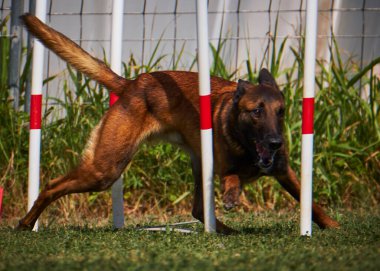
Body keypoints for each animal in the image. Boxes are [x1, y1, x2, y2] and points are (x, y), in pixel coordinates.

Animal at [17, 13, 338, 234]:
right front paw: (232, 195)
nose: (275, 143)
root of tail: (132, 84)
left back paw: (224, 231)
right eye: (257, 111)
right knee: (51, 185)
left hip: (188, 163)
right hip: (105, 168)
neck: (247, 144)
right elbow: (233, 177)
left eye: (280, 111)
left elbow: (309, 202)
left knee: (198, 209)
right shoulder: (223, 166)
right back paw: (26, 222)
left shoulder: (284, 172)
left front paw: (331, 225)